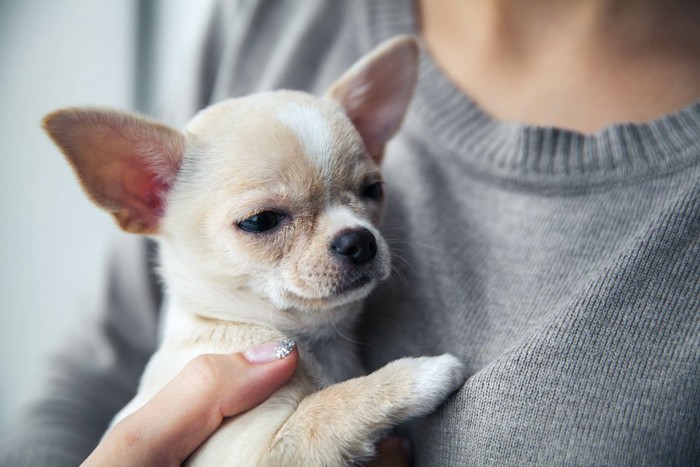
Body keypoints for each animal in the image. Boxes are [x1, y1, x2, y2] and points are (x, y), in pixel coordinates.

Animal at [46, 37, 468, 467]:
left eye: (373, 190)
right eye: (261, 221)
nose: (359, 240)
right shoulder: (258, 450)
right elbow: (329, 405)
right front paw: (424, 373)